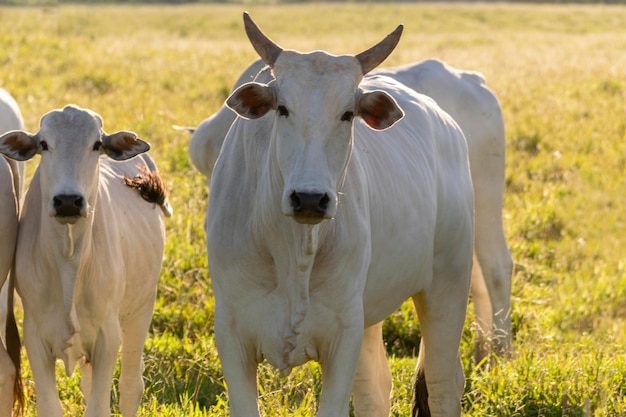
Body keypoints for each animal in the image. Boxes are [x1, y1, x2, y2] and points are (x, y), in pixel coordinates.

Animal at [205, 13, 472, 416]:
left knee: (442, 385)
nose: (309, 198)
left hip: (447, 286)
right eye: (282, 108)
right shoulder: (231, 333)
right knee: (374, 391)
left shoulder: (343, 337)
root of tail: (447, 123)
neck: (293, 251)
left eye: (348, 114)